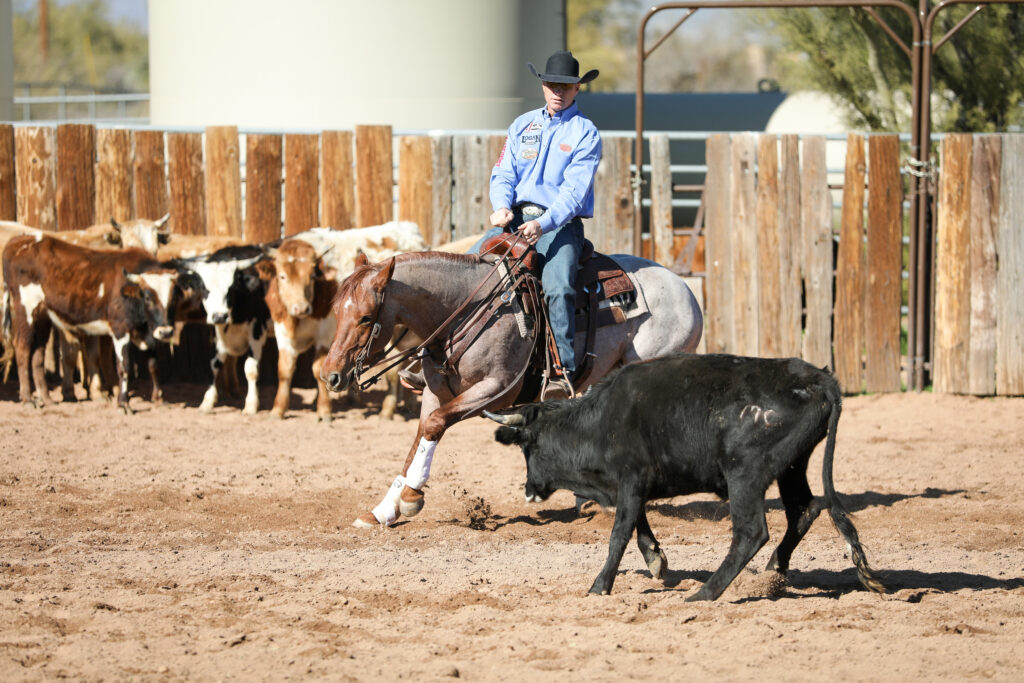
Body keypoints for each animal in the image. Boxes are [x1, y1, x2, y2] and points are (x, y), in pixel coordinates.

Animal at [320, 249, 703, 528]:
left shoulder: (494, 389)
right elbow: (419, 438)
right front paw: (384, 509)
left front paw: (413, 497)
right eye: (336, 310)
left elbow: (435, 425)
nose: (330, 375)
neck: (465, 314)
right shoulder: (434, 392)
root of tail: (686, 290)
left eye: (366, 317)